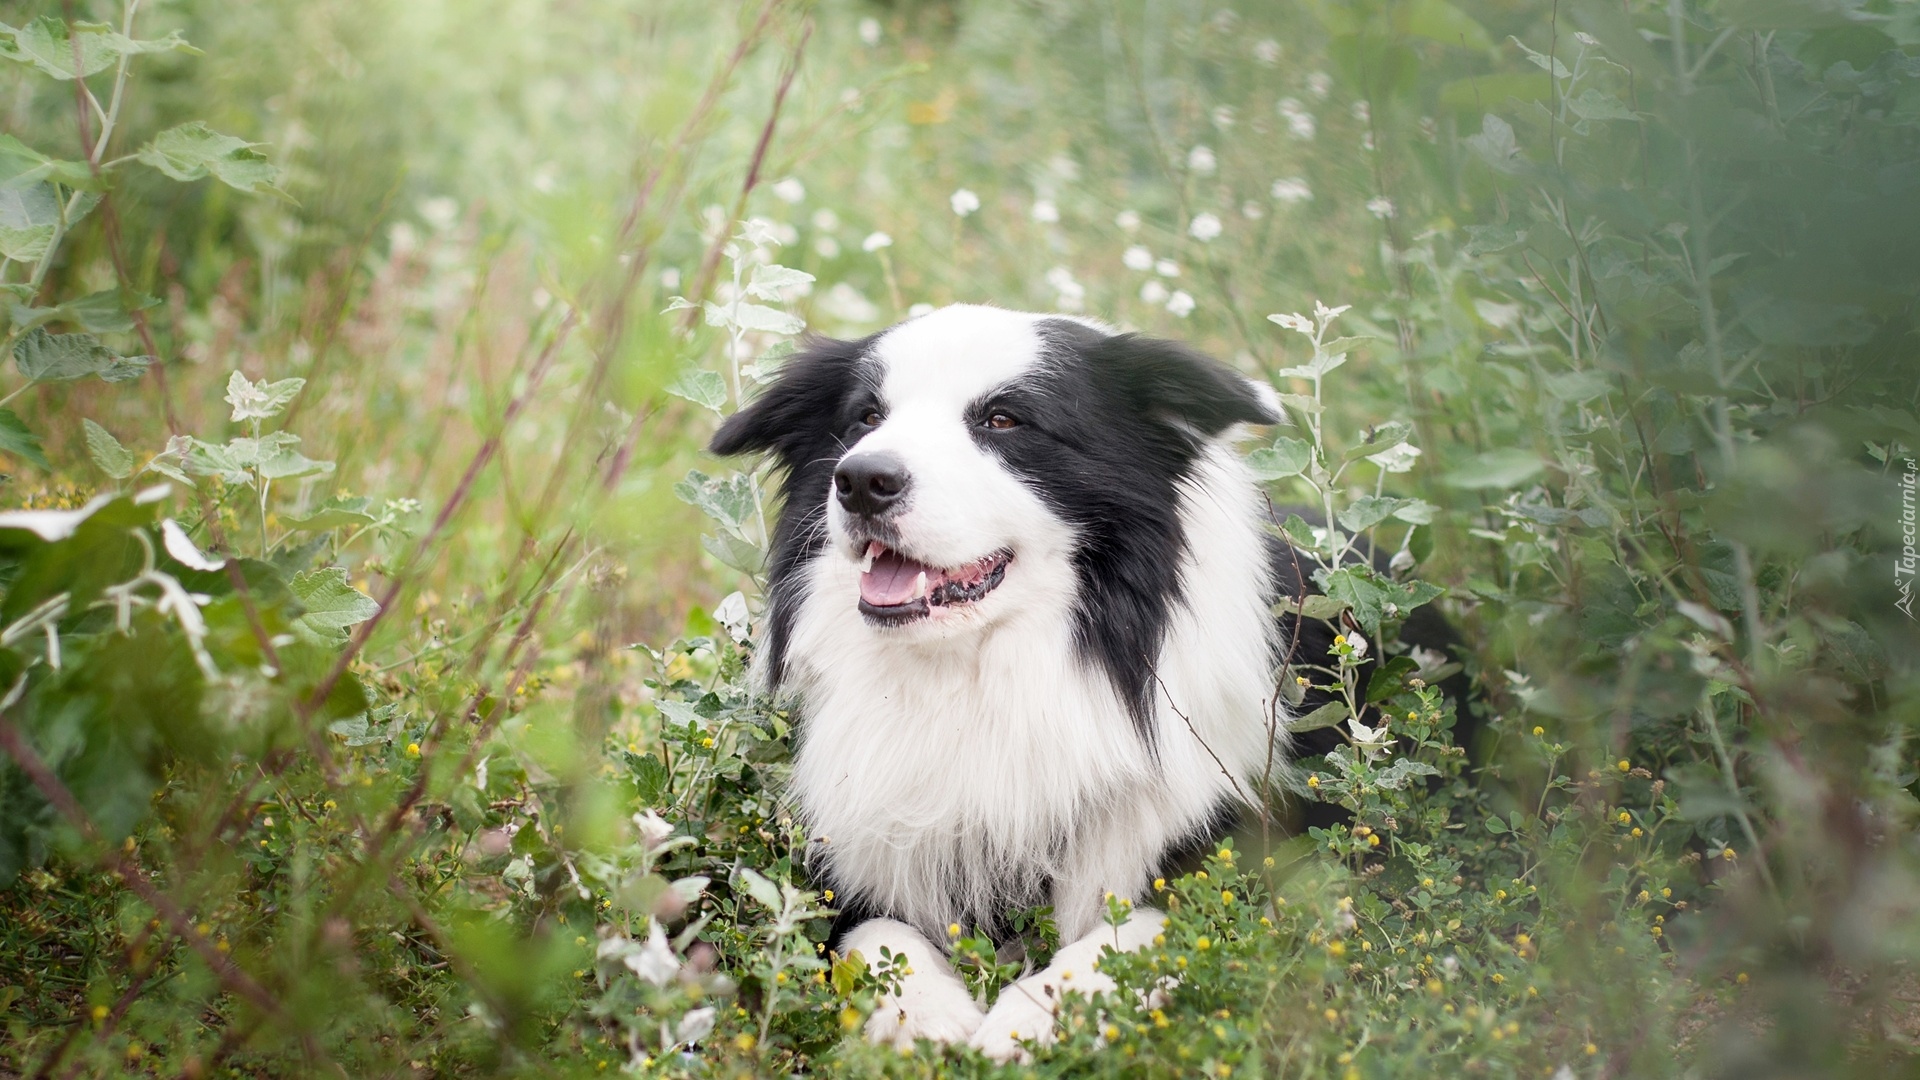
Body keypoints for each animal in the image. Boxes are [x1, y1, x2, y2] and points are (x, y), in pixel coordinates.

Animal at [706, 299, 1305, 1053]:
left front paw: (1034, 1014)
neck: (978, 675)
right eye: (866, 416)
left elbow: (1141, 932)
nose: (862, 480)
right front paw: (925, 1010)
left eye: (1003, 420)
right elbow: (876, 934)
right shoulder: (847, 862)